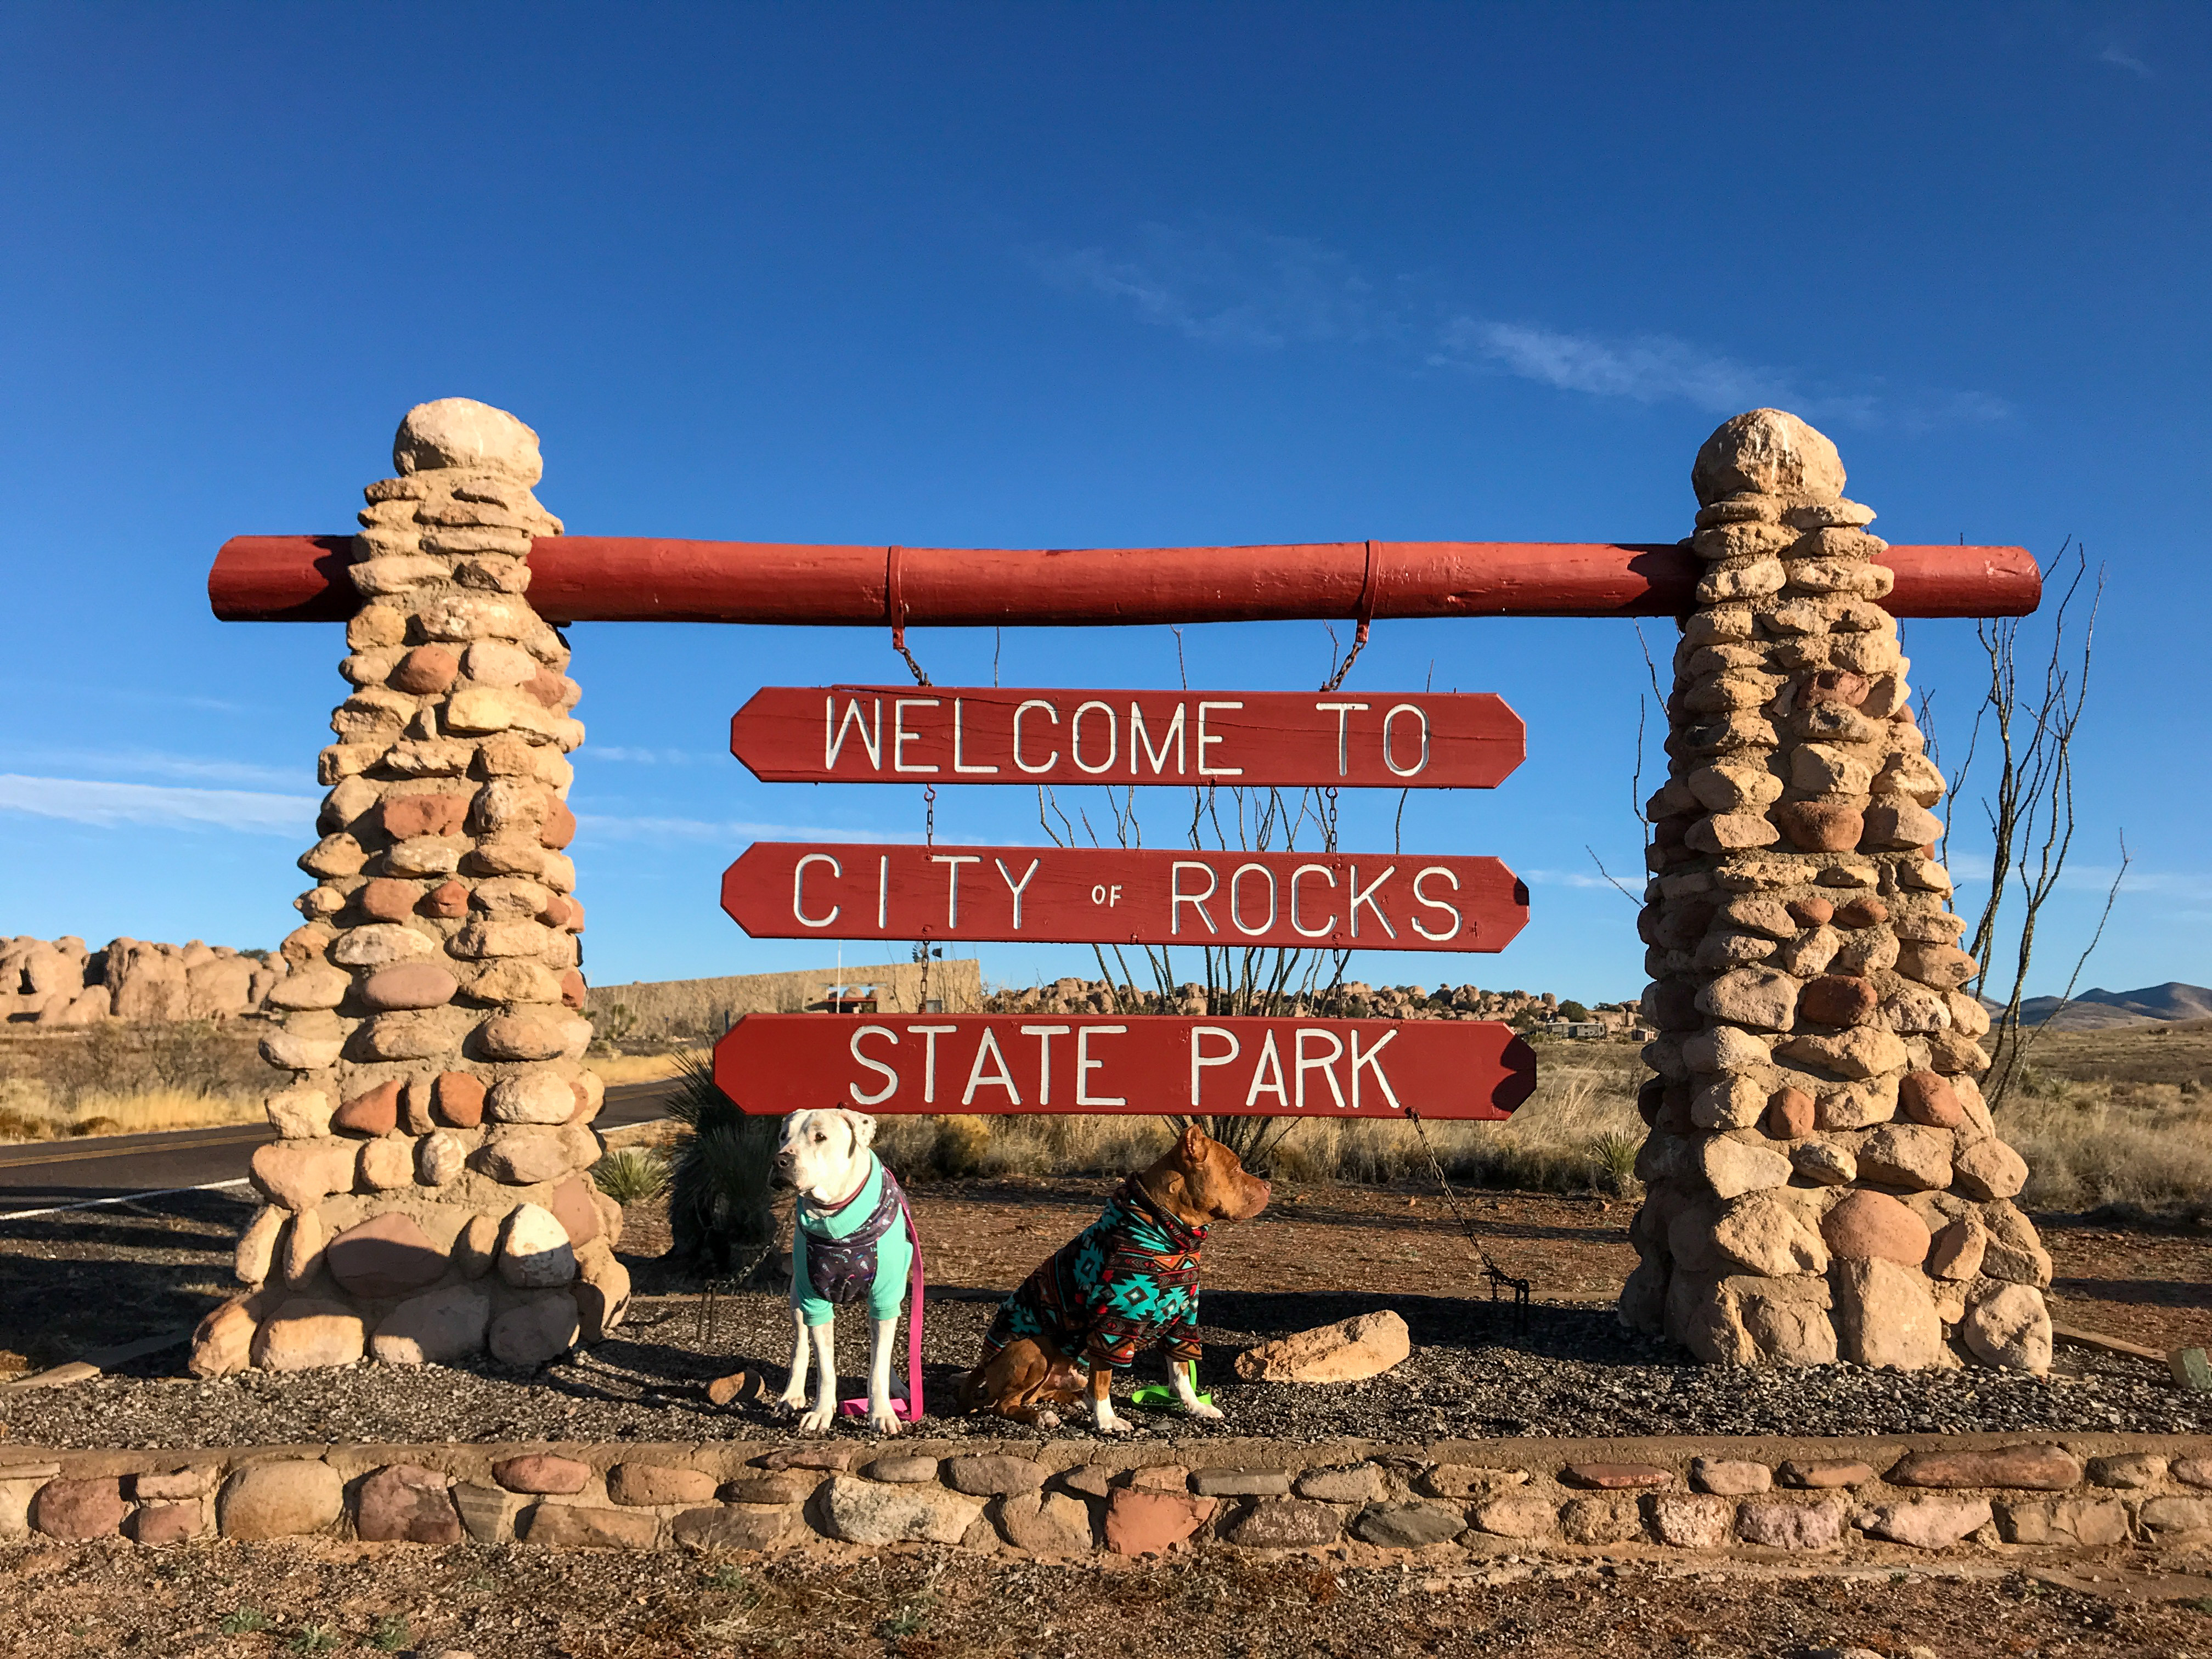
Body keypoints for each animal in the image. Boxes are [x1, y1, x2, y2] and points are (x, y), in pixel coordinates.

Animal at [770, 1119, 916, 1442]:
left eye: (820, 1137)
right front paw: (821, 1412)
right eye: (783, 1136)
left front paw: (882, 1413)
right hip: (797, 1297)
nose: (780, 1160)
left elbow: (878, 1365)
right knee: (800, 1346)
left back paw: (896, 1387)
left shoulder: (885, 1299)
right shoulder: (814, 1302)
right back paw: (792, 1395)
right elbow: (825, 1367)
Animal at [960, 1124, 1274, 1433]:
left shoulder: (1183, 1320)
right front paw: (1106, 1419)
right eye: (1235, 1168)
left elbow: (1181, 1370)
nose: (1269, 1185)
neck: (1168, 1237)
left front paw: (1196, 1406)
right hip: (1037, 1348)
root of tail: (984, 1365)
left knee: (1047, 1393)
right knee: (1005, 1404)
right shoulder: (1112, 1325)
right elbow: (1104, 1378)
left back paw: (1073, 1401)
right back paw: (1041, 1416)